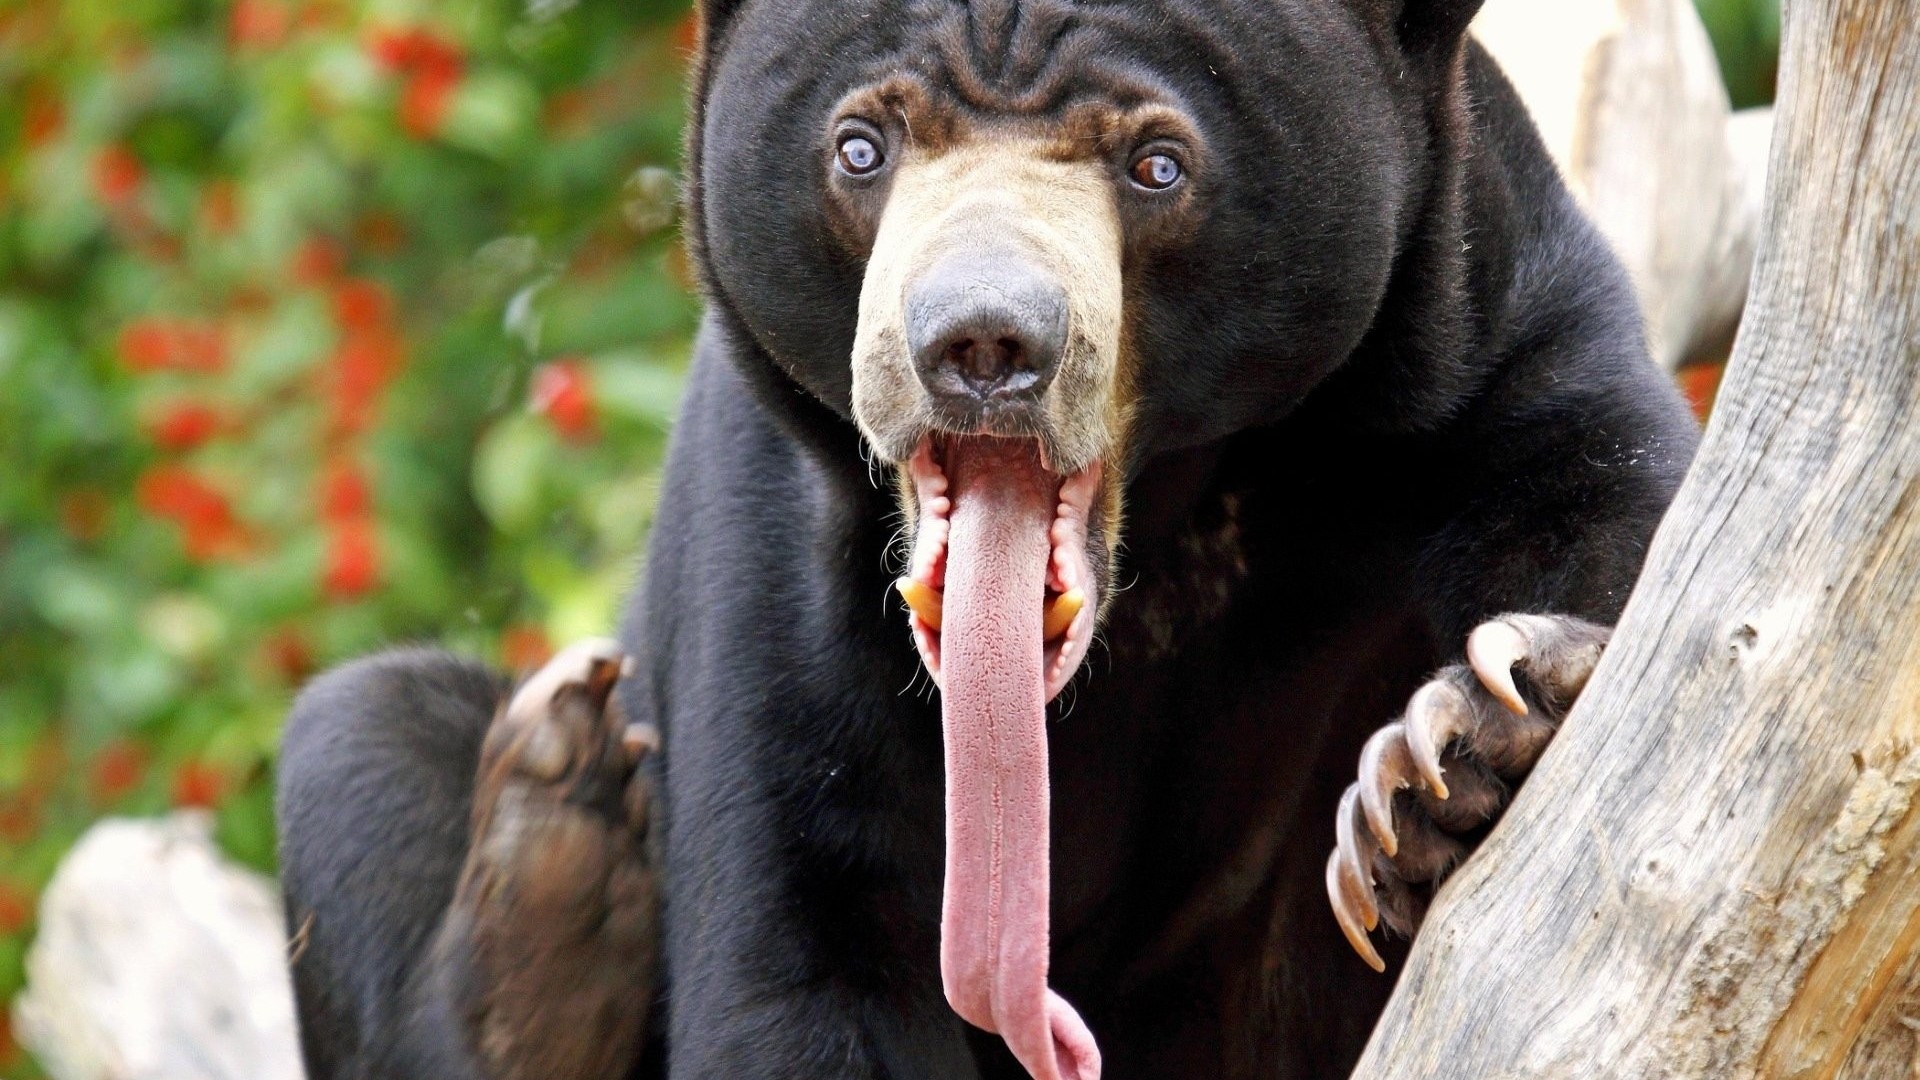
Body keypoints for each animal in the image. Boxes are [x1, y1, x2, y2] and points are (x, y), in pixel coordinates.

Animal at [274, 0, 1701, 1077]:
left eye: (1156, 164)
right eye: (862, 146)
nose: (979, 345)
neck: (1173, 524)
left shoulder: (1489, 334)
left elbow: (1614, 520)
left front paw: (1460, 748)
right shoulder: (776, 540)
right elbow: (800, 934)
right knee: (366, 734)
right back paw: (552, 863)